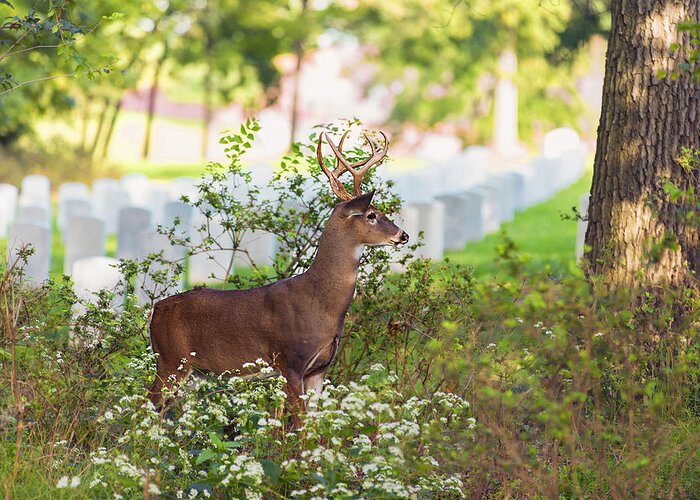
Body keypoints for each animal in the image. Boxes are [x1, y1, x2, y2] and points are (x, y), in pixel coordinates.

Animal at [148, 129, 410, 418]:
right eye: (371, 215)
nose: (403, 235)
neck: (320, 302)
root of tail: (155, 310)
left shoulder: (319, 369)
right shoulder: (290, 362)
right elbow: (300, 422)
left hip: (195, 372)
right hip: (170, 359)